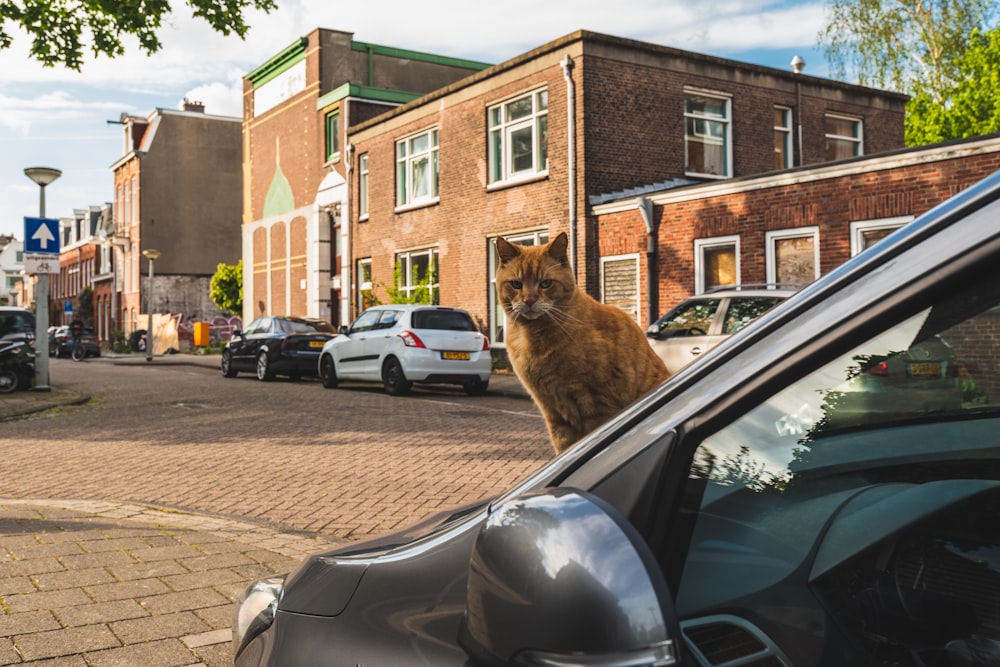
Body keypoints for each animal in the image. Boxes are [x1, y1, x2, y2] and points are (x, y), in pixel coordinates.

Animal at [494, 232, 668, 456]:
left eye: (545, 283)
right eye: (516, 284)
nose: (529, 300)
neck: (534, 337)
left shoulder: (595, 404)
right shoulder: (553, 412)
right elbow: (562, 447)